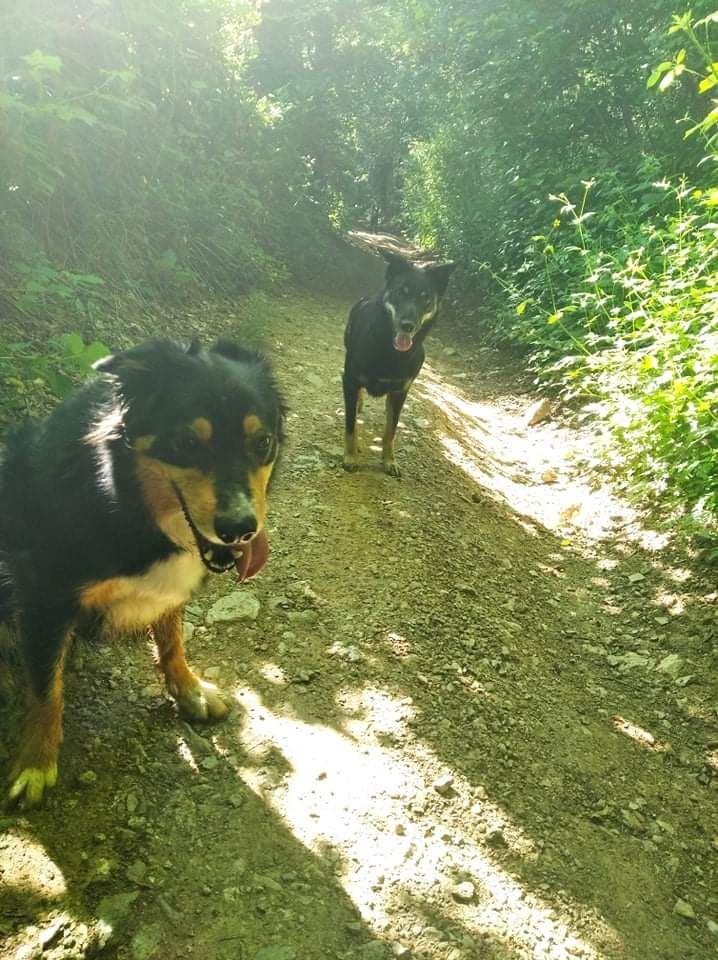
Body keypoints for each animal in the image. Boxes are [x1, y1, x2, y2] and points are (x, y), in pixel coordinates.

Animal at [0, 338, 286, 804]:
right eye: (186, 442)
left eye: (261, 441)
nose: (241, 529)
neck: (127, 501)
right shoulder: (43, 593)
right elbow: (45, 689)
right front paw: (36, 764)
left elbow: (171, 640)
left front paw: (189, 690)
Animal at [344, 251, 456, 476]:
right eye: (400, 293)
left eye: (426, 299)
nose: (408, 326)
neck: (390, 352)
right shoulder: (349, 380)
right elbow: (351, 424)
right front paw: (350, 456)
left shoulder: (400, 392)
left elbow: (391, 430)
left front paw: (389, 460)